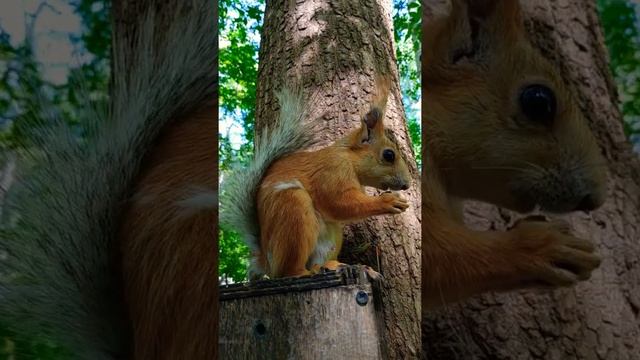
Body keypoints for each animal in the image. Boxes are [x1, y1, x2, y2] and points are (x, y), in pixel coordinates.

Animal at [219, 78, 410, 282]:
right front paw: (388, 201)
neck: (349, 159)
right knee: (287, 271)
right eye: (389, 155)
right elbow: (339, 203)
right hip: (293, 208)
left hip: (331, 235)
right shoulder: (331, 171)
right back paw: (305, 272)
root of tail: (265, 260)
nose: (406, 184)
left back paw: (336, 266)